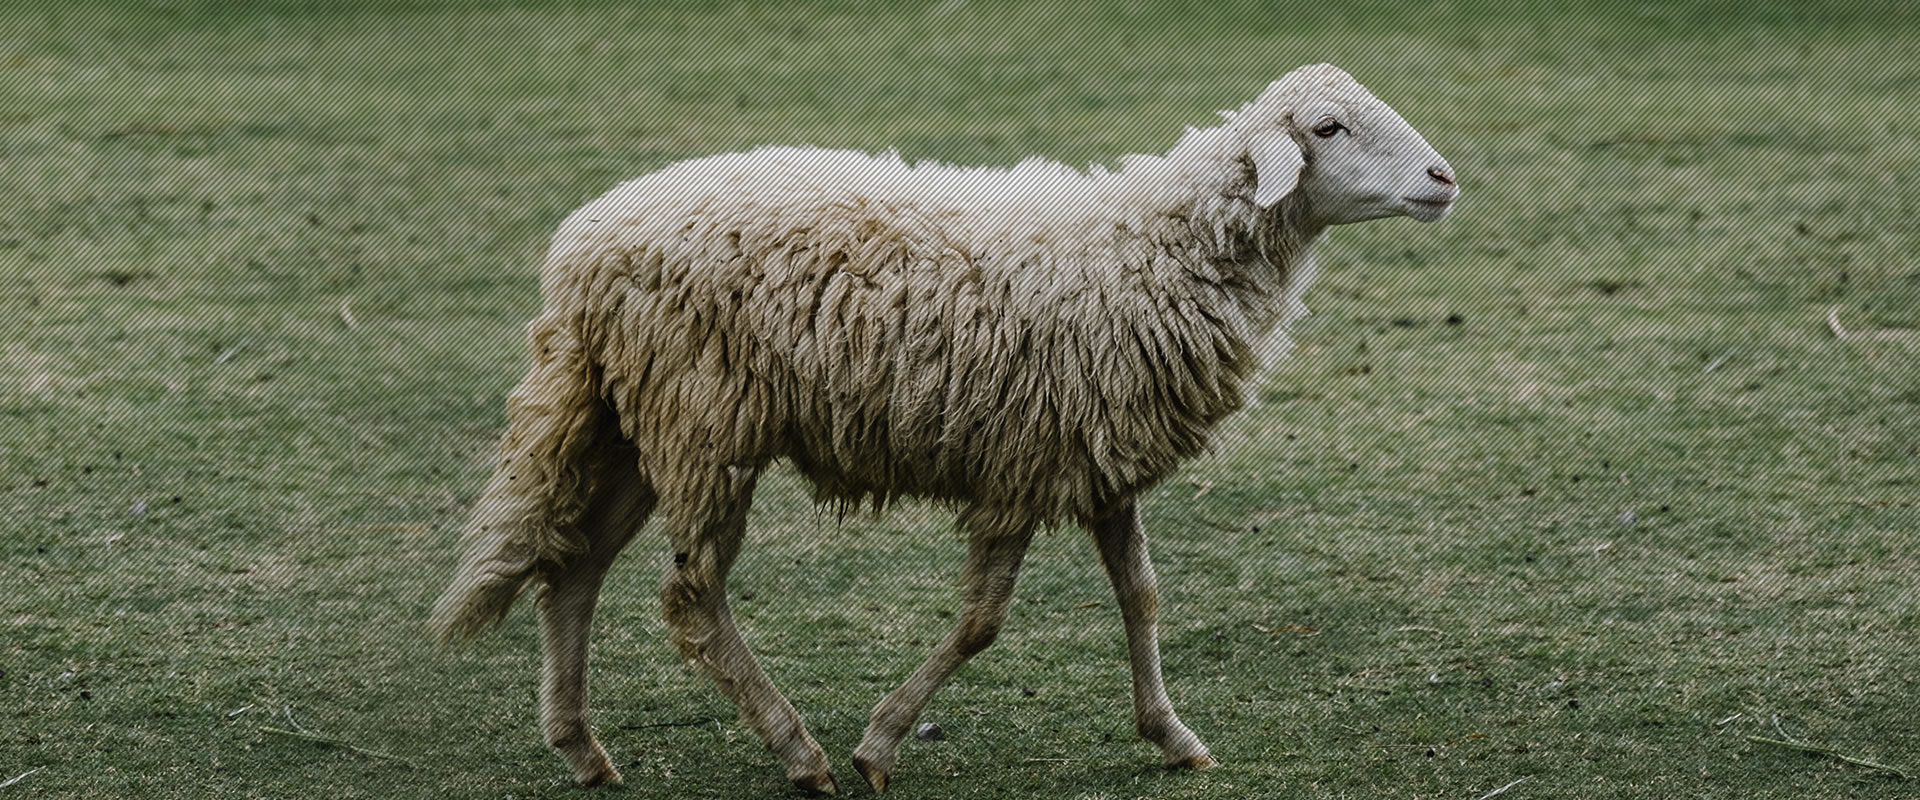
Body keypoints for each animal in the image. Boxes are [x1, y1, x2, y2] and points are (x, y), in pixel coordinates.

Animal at [432, 62, 1451, 790]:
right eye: (1327, 129)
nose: (1444, 179)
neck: (1152, 247)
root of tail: (577, 248)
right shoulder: (1021, 466)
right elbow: (981, 622)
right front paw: (879, 744)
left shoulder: (1100, 458)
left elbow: (1143, 597)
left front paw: (1171, 734)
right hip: (703, 422)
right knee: (689, 598)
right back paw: (798, 753)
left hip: (636, 425)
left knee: (573, 572)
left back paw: (583, 750)